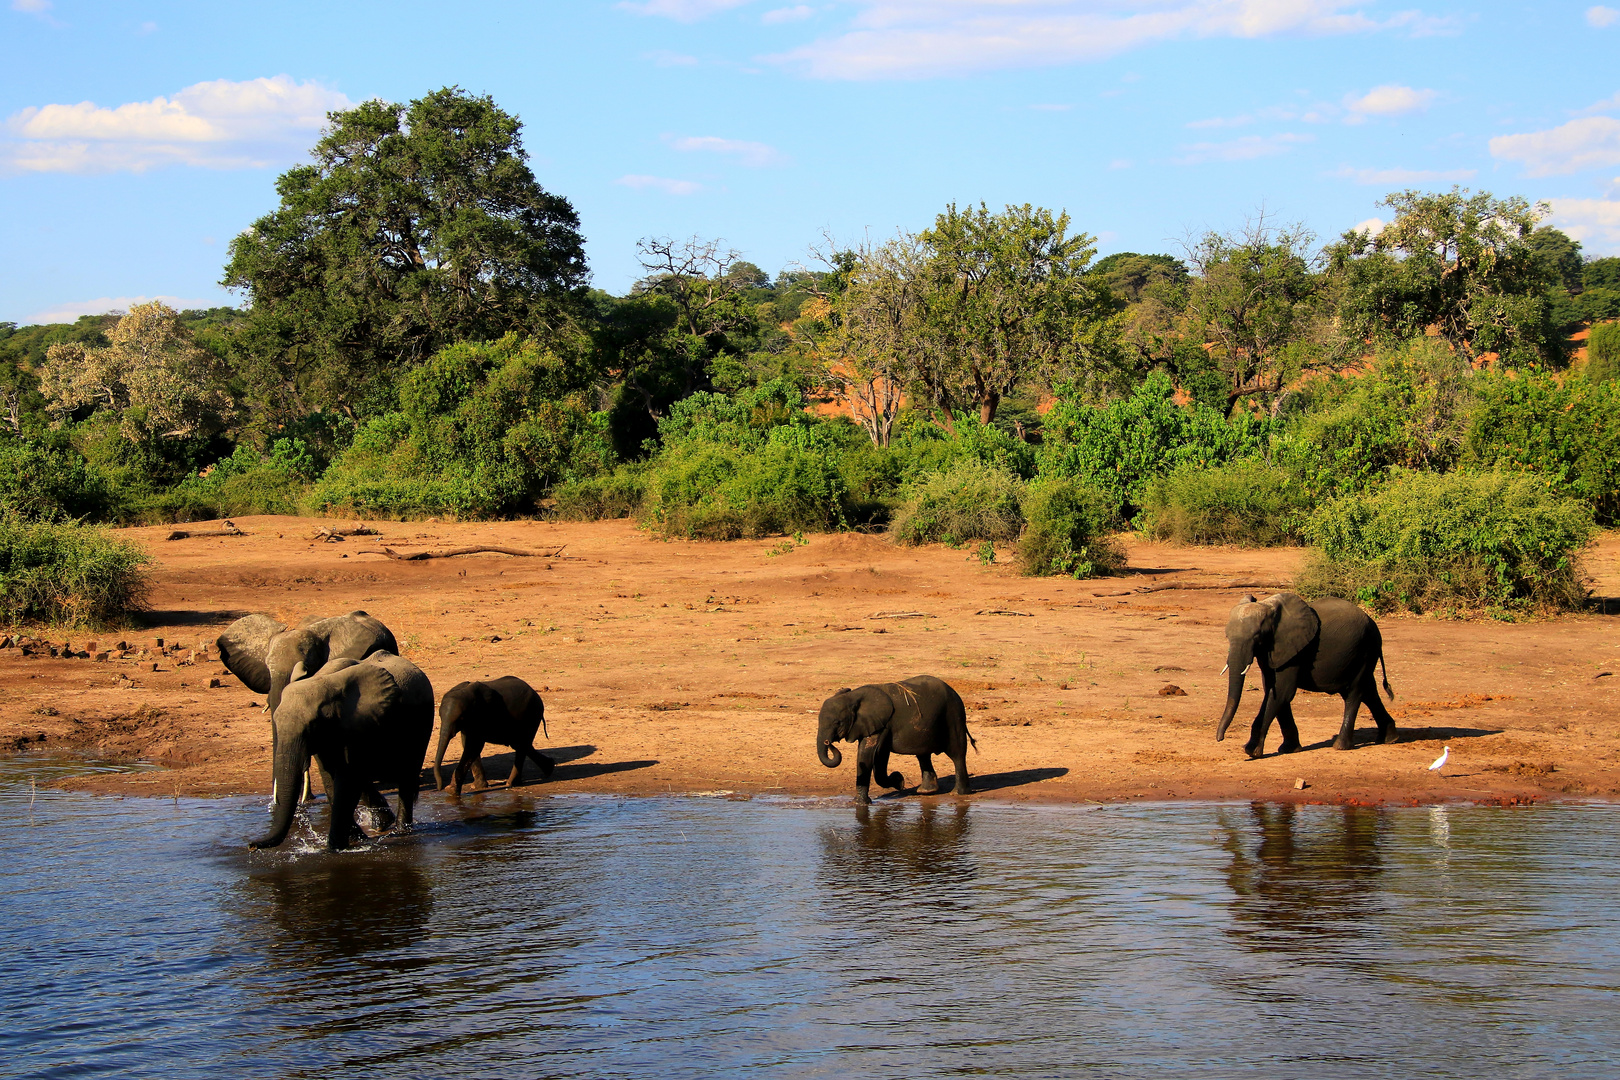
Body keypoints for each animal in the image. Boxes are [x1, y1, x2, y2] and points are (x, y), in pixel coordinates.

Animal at [249, 650, 434, 854]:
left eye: (313, 724)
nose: (251, 845)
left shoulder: (359, 722)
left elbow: (347, 779)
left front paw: (335, 849)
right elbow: (331, 776)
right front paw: (356, 838)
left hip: (422, 721)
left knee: (407, 775)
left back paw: (401, 831)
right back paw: (382, 823)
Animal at [822, 676, 972, 803]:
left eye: (837, 723)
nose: (828, 742)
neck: (852, 697)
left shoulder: (882, 725)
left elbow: (869, 754)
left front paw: (860, 803)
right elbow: (879, 755)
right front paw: (899, 781)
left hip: (953, 715)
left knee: (957, 753)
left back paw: (957, 793)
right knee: (923, 755)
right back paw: (926, 791)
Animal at [1218, 592, 1399, 761]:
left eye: (1257, 636)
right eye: (1226, 636)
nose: (1220, 739)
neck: (1269, 607)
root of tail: (1373, 624)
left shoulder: (1294, 650)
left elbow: (1282, 692)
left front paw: (1250, 751)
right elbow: (1273, 690)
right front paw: (1289, 749)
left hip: (1365, 649)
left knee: (1354, 693)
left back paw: (1341, 746)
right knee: (1368, 691)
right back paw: (1390, 738)